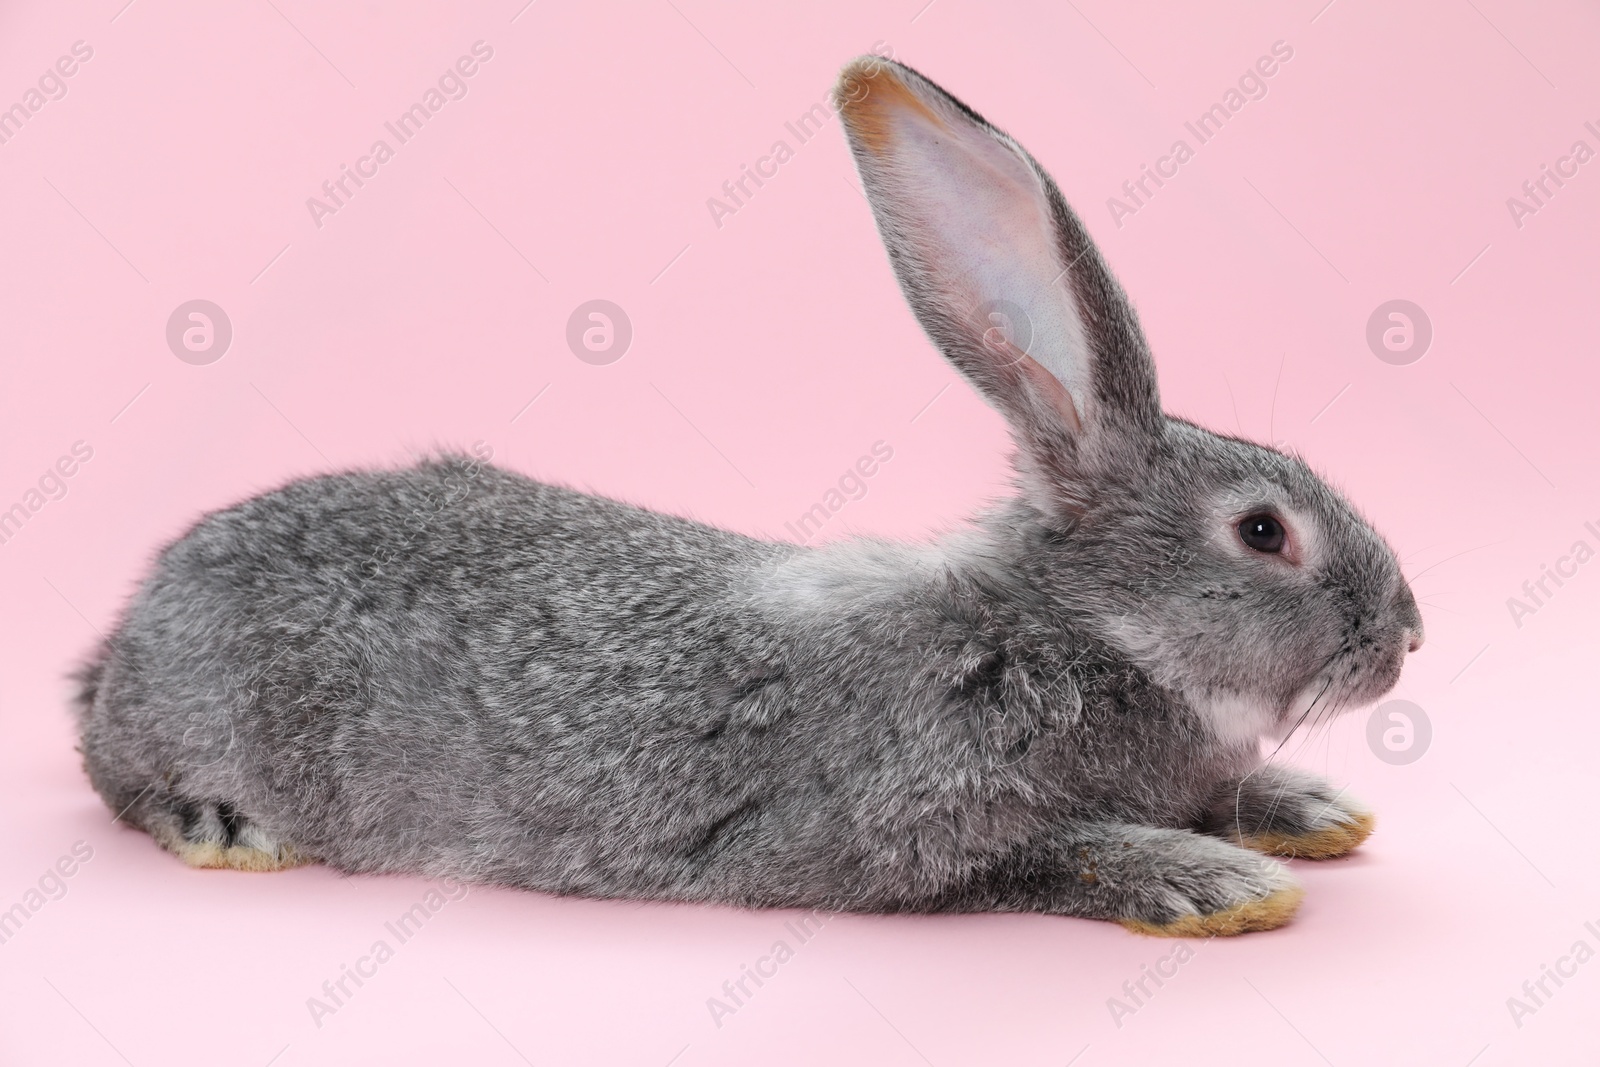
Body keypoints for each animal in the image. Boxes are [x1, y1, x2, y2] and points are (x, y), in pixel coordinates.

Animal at [75, 58, 1427, 940]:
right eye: (1262, 530)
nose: (1407, 634)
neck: (1076, 628)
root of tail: (128, 631)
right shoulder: (905, 836)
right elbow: (1062, 853)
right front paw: (1216, 882)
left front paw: (1309, 810)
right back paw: (220, 825)